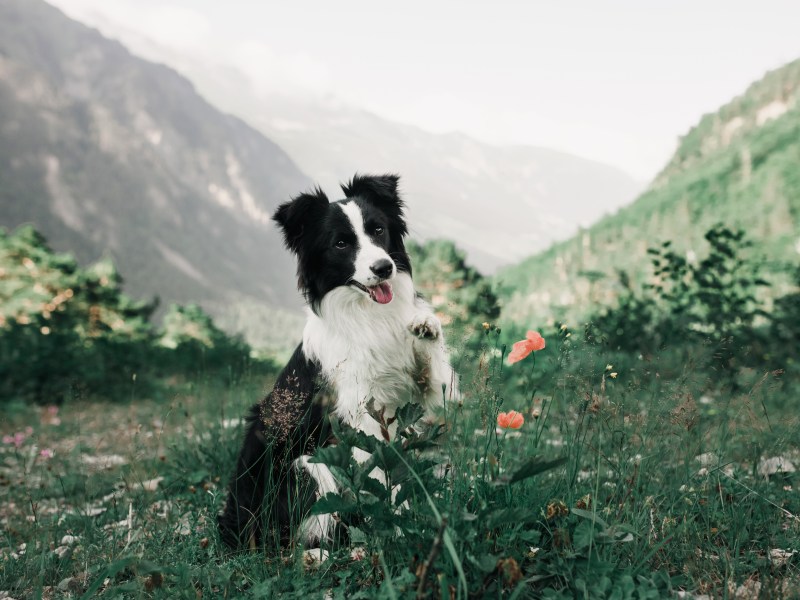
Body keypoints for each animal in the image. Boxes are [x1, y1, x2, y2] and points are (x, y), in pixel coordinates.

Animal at [219, 175, 456, 552]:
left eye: (378, 230)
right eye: (341, 244)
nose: (384, 268)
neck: (366, 313)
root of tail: (232, 525)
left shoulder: (422, 389)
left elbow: (436, 375)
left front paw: (426, 325)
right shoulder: (359, 410)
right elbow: (376, 468)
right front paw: (390, 529)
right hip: (303, 465)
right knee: (288, 539)